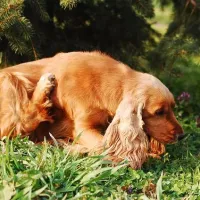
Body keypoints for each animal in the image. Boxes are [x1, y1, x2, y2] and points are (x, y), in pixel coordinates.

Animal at [0, 52, 183, 169]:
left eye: (172, 108)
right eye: (159, 112)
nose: (181, 135)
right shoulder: (82, 127)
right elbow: (104, 146)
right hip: (10, 82)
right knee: (21, 123)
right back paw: (45, 84)